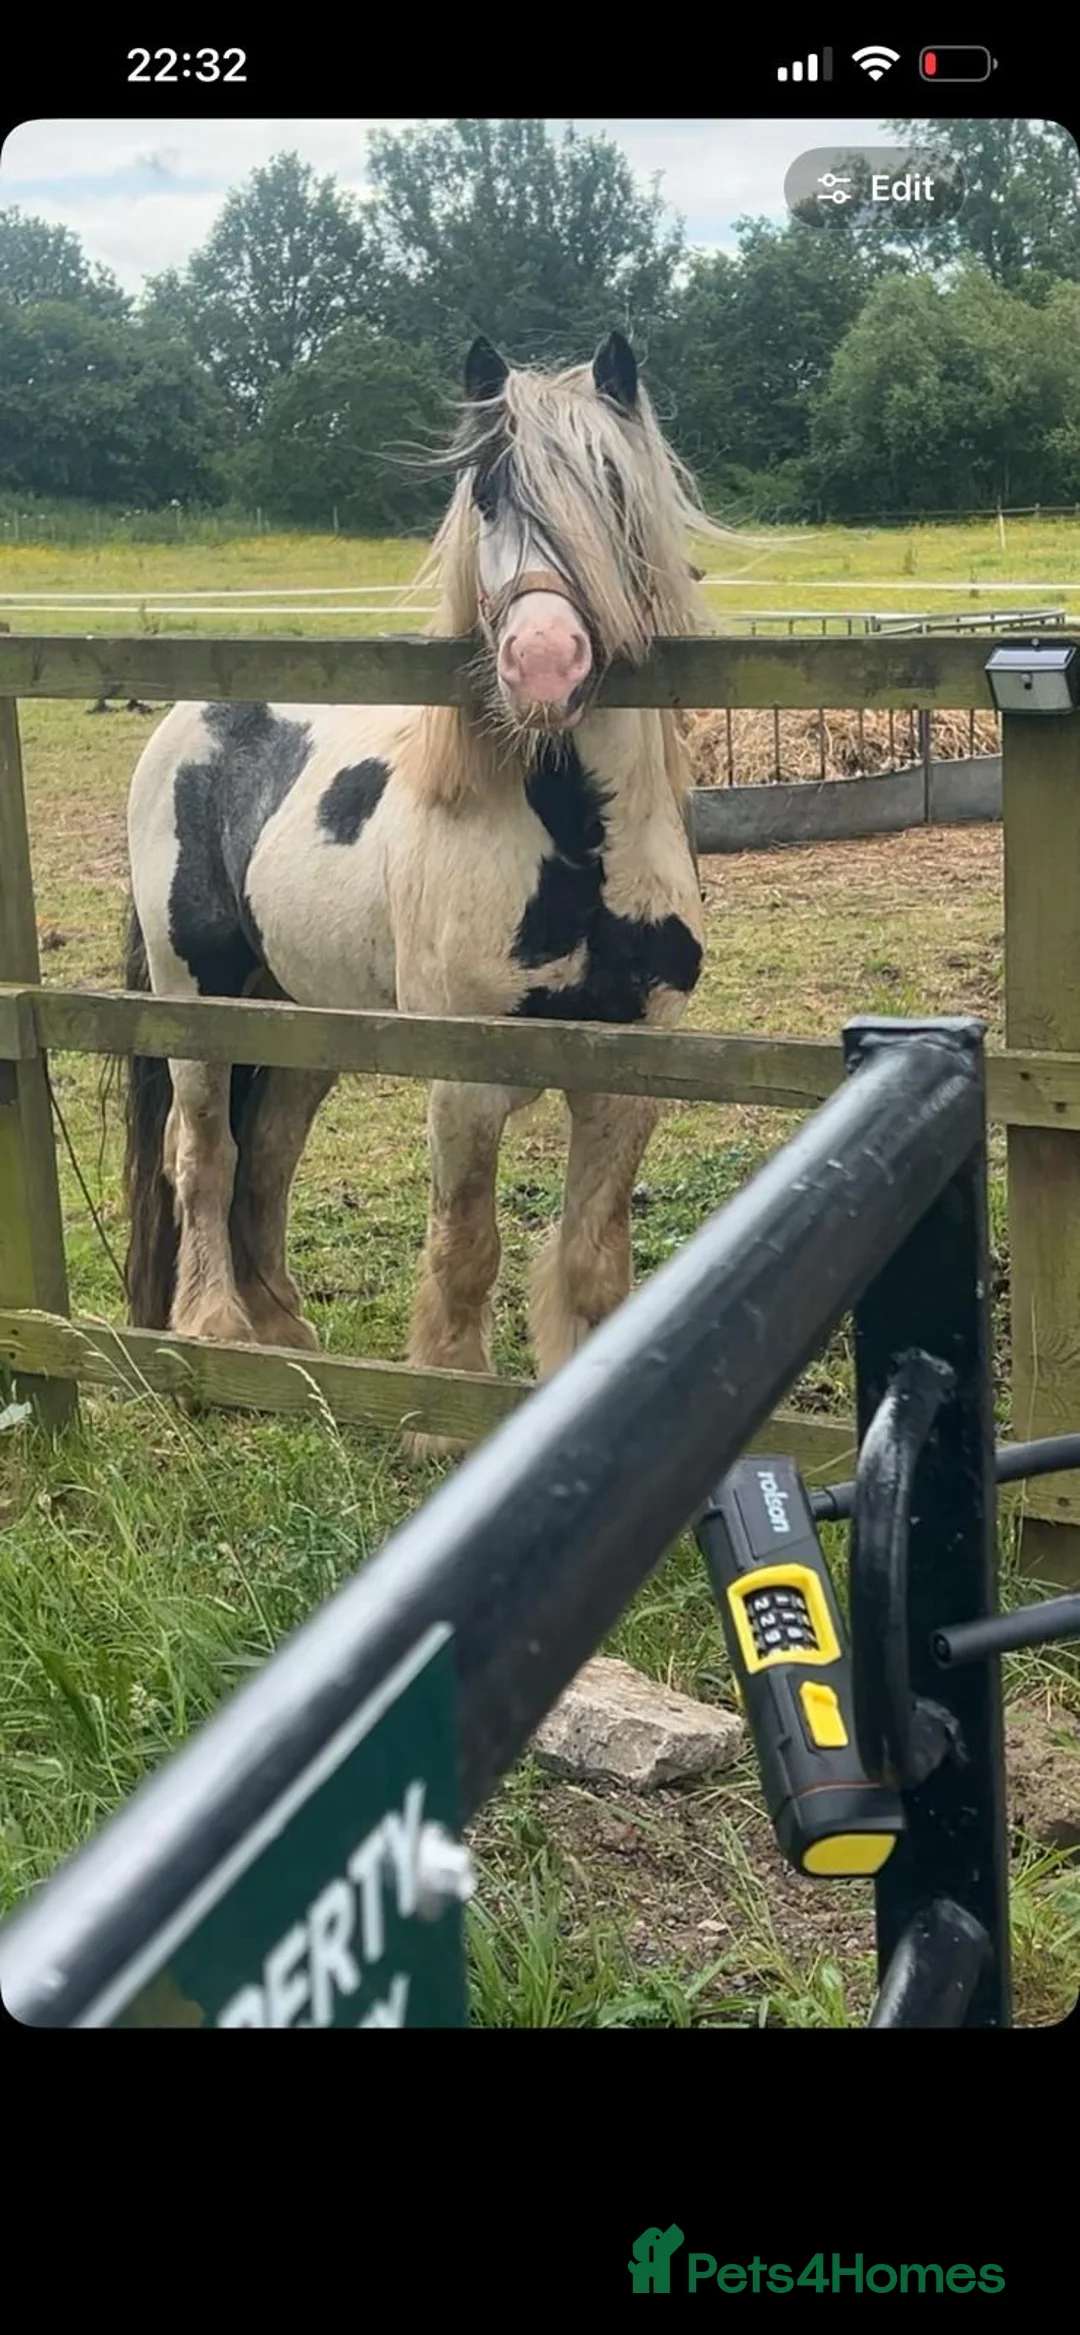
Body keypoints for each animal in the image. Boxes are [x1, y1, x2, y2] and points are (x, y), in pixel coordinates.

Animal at [122, 329, 729, 1455]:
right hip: (199, 1002)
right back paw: (218, 1333)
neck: (573, 849)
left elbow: (591, 1257)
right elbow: (467, 1243)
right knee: (207, 1154)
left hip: (306, 1021)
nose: (543, 661)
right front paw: (445, 1419)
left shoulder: (630, 1073)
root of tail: (194, 717)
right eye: (485, 492)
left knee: (269, 1156)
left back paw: (285, 1331)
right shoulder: (465, 1080)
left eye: (611, 487)